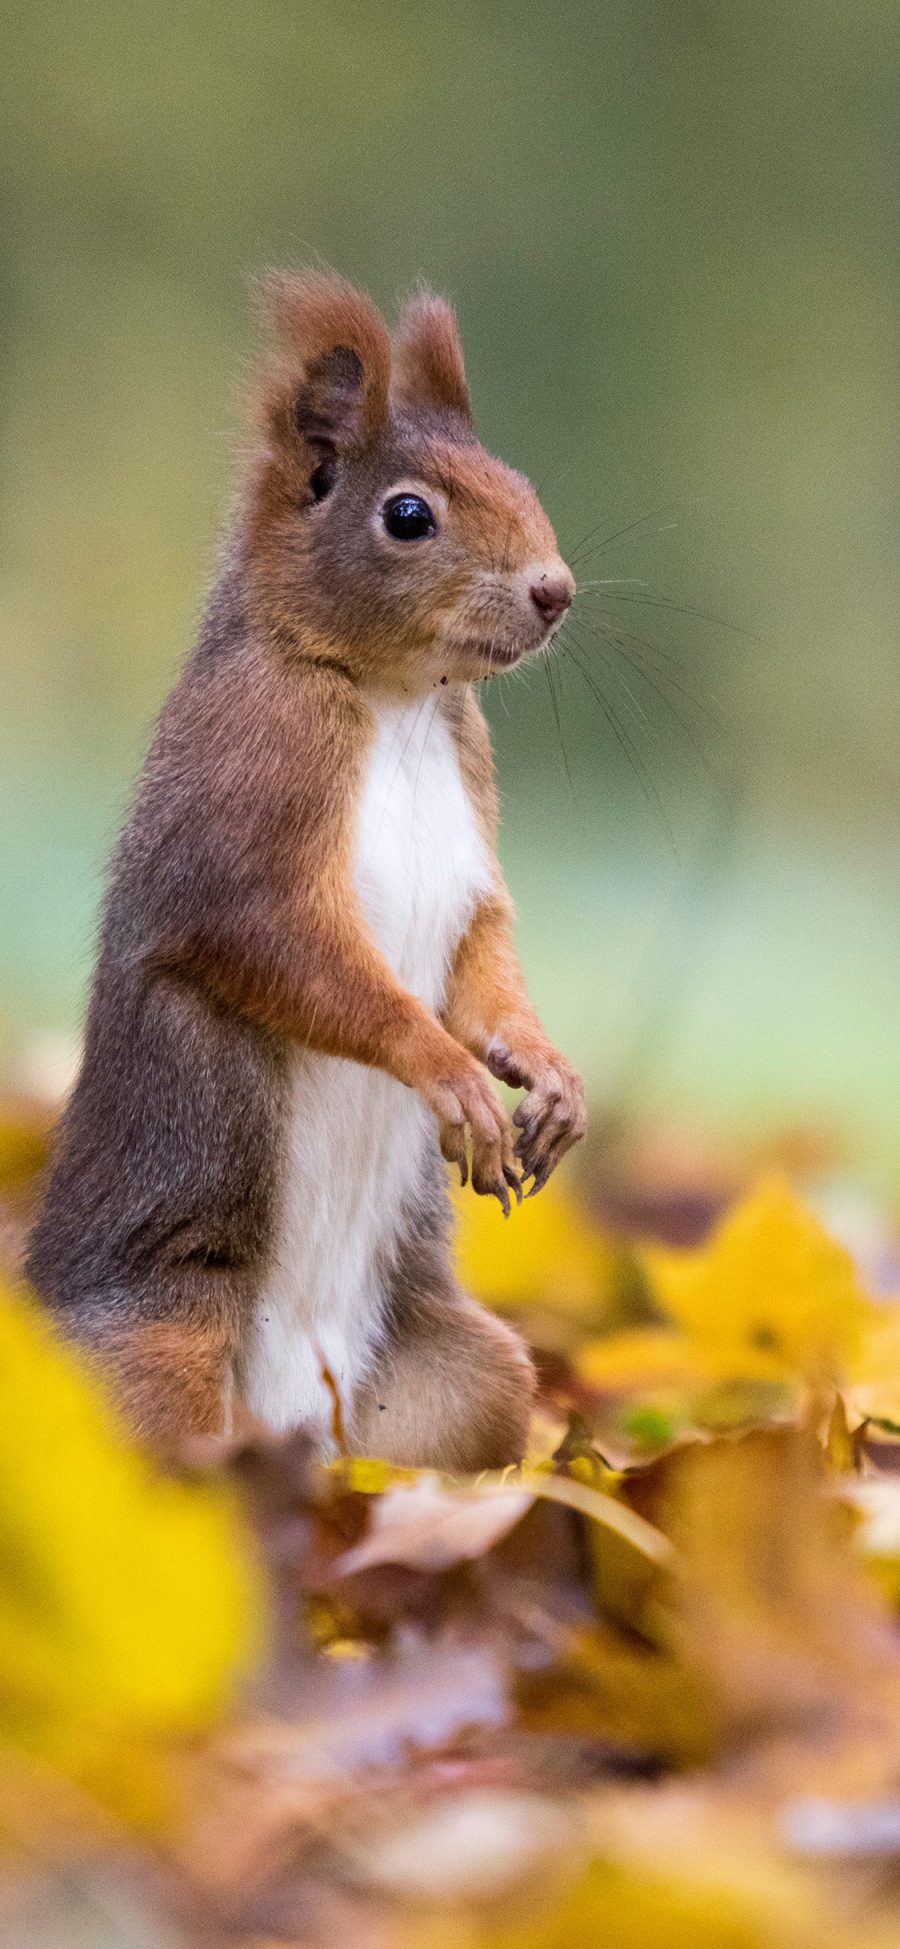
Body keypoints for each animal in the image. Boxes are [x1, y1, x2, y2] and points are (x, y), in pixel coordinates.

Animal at [24, 270, 588, 1465]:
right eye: (408, 515)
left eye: (516, 477)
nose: (555, 589)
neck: (399, 698)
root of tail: (293, 1432)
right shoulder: (252, 783)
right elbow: (282, 947)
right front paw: (447, 1070)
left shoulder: (473, 820)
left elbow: (486, 953)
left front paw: (545, 1071)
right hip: (153, 1356)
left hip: (467, 1381)